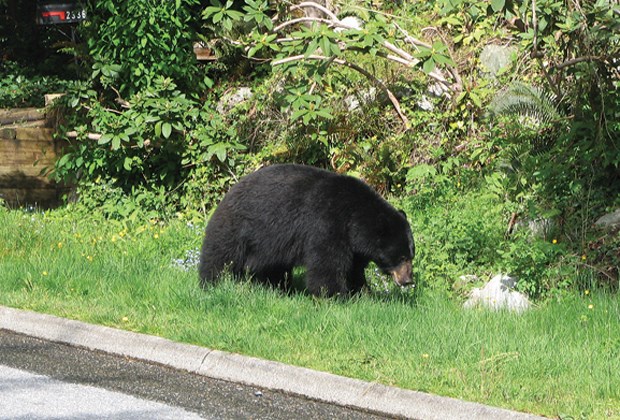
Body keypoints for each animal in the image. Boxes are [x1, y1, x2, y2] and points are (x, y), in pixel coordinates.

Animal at [199, 162, 414, 296]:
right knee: (221, 256)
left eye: (411, 256)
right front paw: (334, 296)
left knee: (271, 267)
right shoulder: (327, 223)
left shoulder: (353, 245)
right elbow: (327, 263)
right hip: (239, 227)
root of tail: (229, 192)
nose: (408, 280)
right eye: (402, 257)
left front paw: (362, 293)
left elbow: (353, 269)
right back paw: (211, 283)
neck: (354, 219)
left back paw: (276, 288)